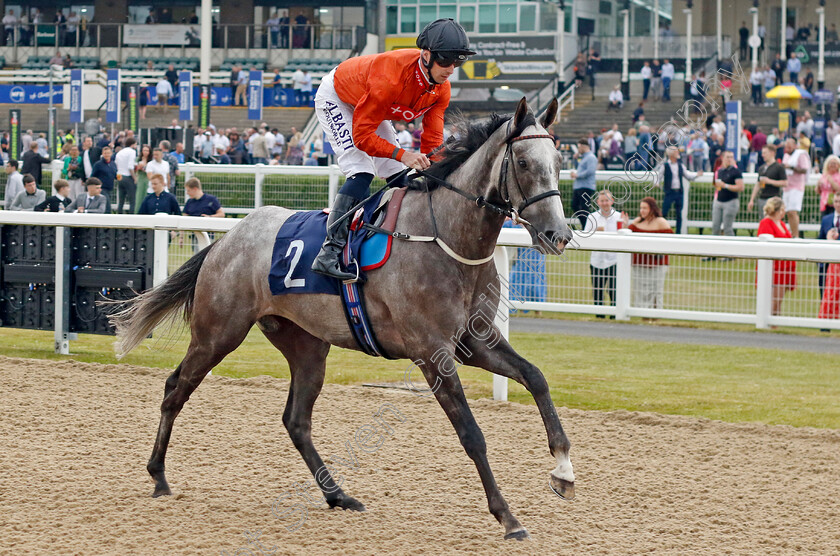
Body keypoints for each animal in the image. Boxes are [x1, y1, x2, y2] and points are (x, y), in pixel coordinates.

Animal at [113, 97, 576, 540]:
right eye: (523, 163)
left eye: (558, 162)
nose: (559, 235)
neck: (444, 236)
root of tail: (229, 238)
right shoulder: (432, 352)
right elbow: (472, 434)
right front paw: (508, 517)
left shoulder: (473, 341)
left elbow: (536, 377)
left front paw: (563, 470)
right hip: (218, 333)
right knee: (176, 388)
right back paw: (158, 476)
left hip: (306, 345)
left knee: (296, 421)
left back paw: (337, 494)